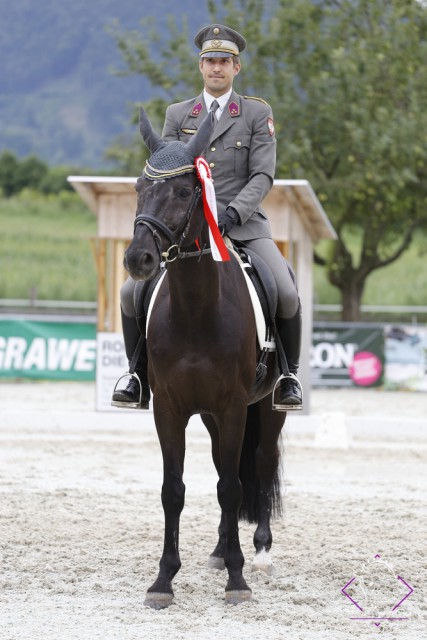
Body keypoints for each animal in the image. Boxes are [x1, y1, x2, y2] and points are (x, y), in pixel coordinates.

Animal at [125, 110, 290, 608]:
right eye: (139, 186)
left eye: (184, 191)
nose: (138, 259)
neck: (195, 311)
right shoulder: (169, 408)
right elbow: (174, 490)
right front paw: (163, 580)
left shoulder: (234, 405)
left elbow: (234, 488)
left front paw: (238, 579)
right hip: (211, 416)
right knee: (223, 466)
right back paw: (220, 550)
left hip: (266, 408)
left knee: (259, 464)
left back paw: (259, 553)